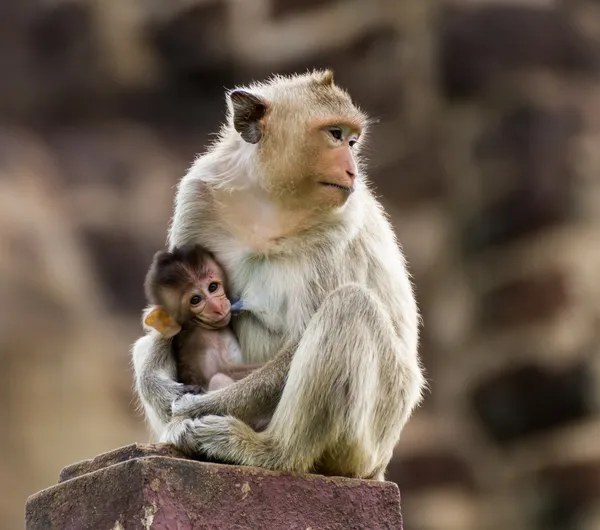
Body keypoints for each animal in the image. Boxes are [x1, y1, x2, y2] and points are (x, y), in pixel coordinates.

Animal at [145, 243, 262, 392]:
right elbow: (219, 372)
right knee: (218, 379)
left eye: (213, 287)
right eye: (195, 300)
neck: (198, 325)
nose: (217, 307)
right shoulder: (203, 341)